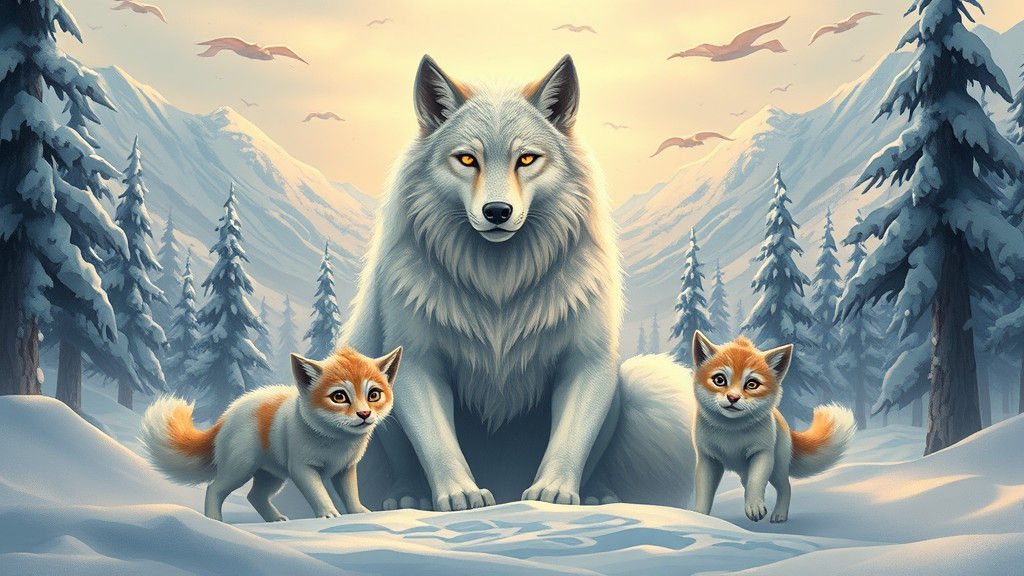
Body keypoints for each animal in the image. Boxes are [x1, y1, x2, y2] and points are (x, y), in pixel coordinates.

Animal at [140, 346, 401, 521]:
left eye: (374, 394)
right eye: (339, 397)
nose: (364, 414)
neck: (335, 441)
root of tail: (226, 416)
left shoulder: (345, 469)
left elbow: (351, 494)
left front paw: (359, 513)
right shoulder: (301, 468)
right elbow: (318, 493)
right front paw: (329, 515)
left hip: (272, 476)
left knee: (254, 496)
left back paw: (275, 519)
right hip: (241, 467)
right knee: (214, 488)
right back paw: (214, 521)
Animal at [342, 54, 697, 511]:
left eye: (526, 160)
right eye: (467, 160)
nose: (497, 211)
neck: (500, 288)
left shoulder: (586, 361)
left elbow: (570, 438)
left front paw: (554, 494)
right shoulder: (419, 361)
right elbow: (438, 442)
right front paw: (461, 495)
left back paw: (599, 494)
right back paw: (407, 496)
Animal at [690, 331, 855, 522]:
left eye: (752, 384)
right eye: (719, 380)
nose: (733, 397)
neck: (731, 432)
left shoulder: (762, 453)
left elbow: (756, 482)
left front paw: (755, 506)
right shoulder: (708, 459)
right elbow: (704, 492)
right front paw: (700, 516)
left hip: (777, 469)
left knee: (786, 487)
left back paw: (779, 514)